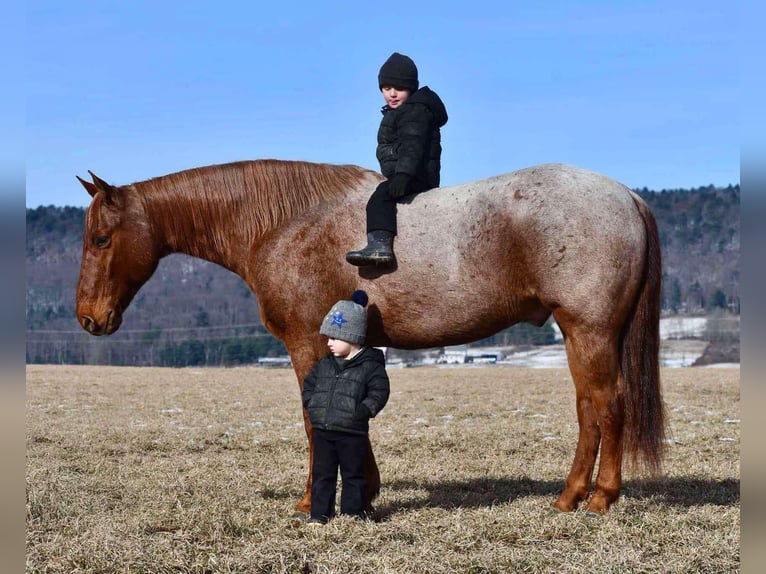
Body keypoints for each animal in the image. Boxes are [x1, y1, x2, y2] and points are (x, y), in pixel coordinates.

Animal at [76, 161, 664, 516]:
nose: (88, 318)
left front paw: (314, 500)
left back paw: (592, 498)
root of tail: (627, 196)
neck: (284, 224)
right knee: (595, 407)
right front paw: (366, 489)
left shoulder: (305, 342)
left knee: (604, 406)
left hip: (587, 330)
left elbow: (314, 418)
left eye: (101, 239)